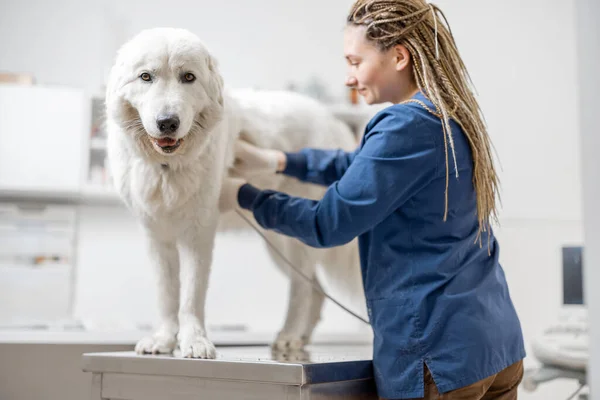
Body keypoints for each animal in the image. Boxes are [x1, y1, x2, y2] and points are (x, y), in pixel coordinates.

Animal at [105, 28, 366, 360]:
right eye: (146, 77)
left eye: (188, 77)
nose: (167, 123)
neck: (167, 168)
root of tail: (335, 122)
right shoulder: (156, 235)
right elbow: (167, 295)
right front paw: (163, 340)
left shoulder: (198, 236)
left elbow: (190, 297)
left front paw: (194, 342)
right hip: (279, 243)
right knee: (314, 288)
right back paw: (299, 337)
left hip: (296, 239)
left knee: (301, 288)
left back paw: (289, 336)